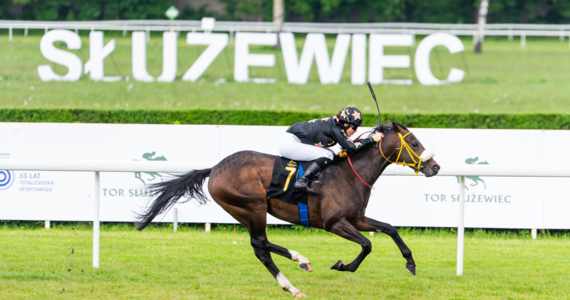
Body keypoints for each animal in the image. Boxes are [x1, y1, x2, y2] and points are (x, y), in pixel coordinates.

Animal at [136, 120, 440, 296]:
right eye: (415, 143)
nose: (435, 167)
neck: (349, 173)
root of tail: (215, 168)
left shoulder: (357, 218)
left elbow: (390, 229)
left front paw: (410, 263)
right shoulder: (334, 223)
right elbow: (367, 245)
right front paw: (342, 265)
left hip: (244, 212)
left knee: (261, 246)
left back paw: (295, 273)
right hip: (252, 207)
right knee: (260, 245)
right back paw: (296, 271)